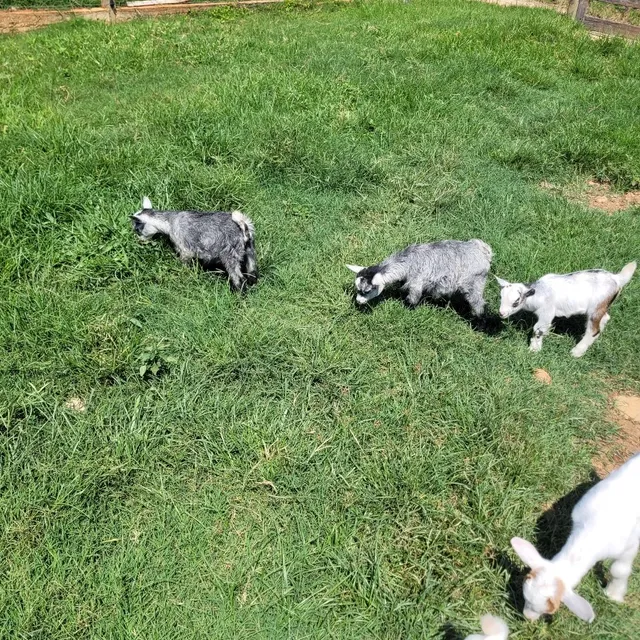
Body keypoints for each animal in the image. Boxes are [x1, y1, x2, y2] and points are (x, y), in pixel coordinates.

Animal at [346, 239, 493, 314]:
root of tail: (484, 252)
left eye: (367, 291)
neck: (408, 262)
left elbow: (413, 298)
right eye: (357, 288)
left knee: (477, 302)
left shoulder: (416, 281)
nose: (358, 301)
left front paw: (408, 308)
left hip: (476, 281)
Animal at [496, 262, 636, 357]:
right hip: (602, 306)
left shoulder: (547, 312)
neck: (540, 292)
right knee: (604, 319)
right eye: (501, 297)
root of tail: (617, 279)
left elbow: (538, 329)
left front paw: (534, 349)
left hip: (596, 306)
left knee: (593, 330)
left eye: (515, 302)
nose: (501, 313)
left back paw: (576, 352)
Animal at [511, 452, 640, 623]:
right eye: (525, 596)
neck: (595, 529)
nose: (527, 618)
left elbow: (619, 570)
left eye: (551, 609)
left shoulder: (629, 546)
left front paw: (613, 595)